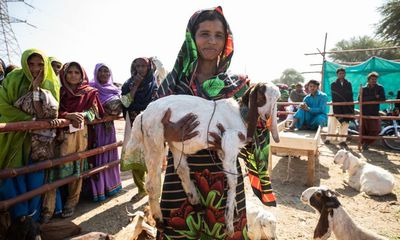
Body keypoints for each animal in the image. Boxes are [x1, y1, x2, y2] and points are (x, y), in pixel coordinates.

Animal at [125, 82, 282, 234]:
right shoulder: (229, 143)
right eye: (261, 96)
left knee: (181, 169)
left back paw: (195, 200)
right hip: (154, 141)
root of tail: (143, 114)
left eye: (276, 100)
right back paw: (159, 220)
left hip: (174, 144)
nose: (267, 115)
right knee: (152, 184)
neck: (240, 115)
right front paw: (229, 223)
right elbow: (233, 181)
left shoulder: (222, 151)